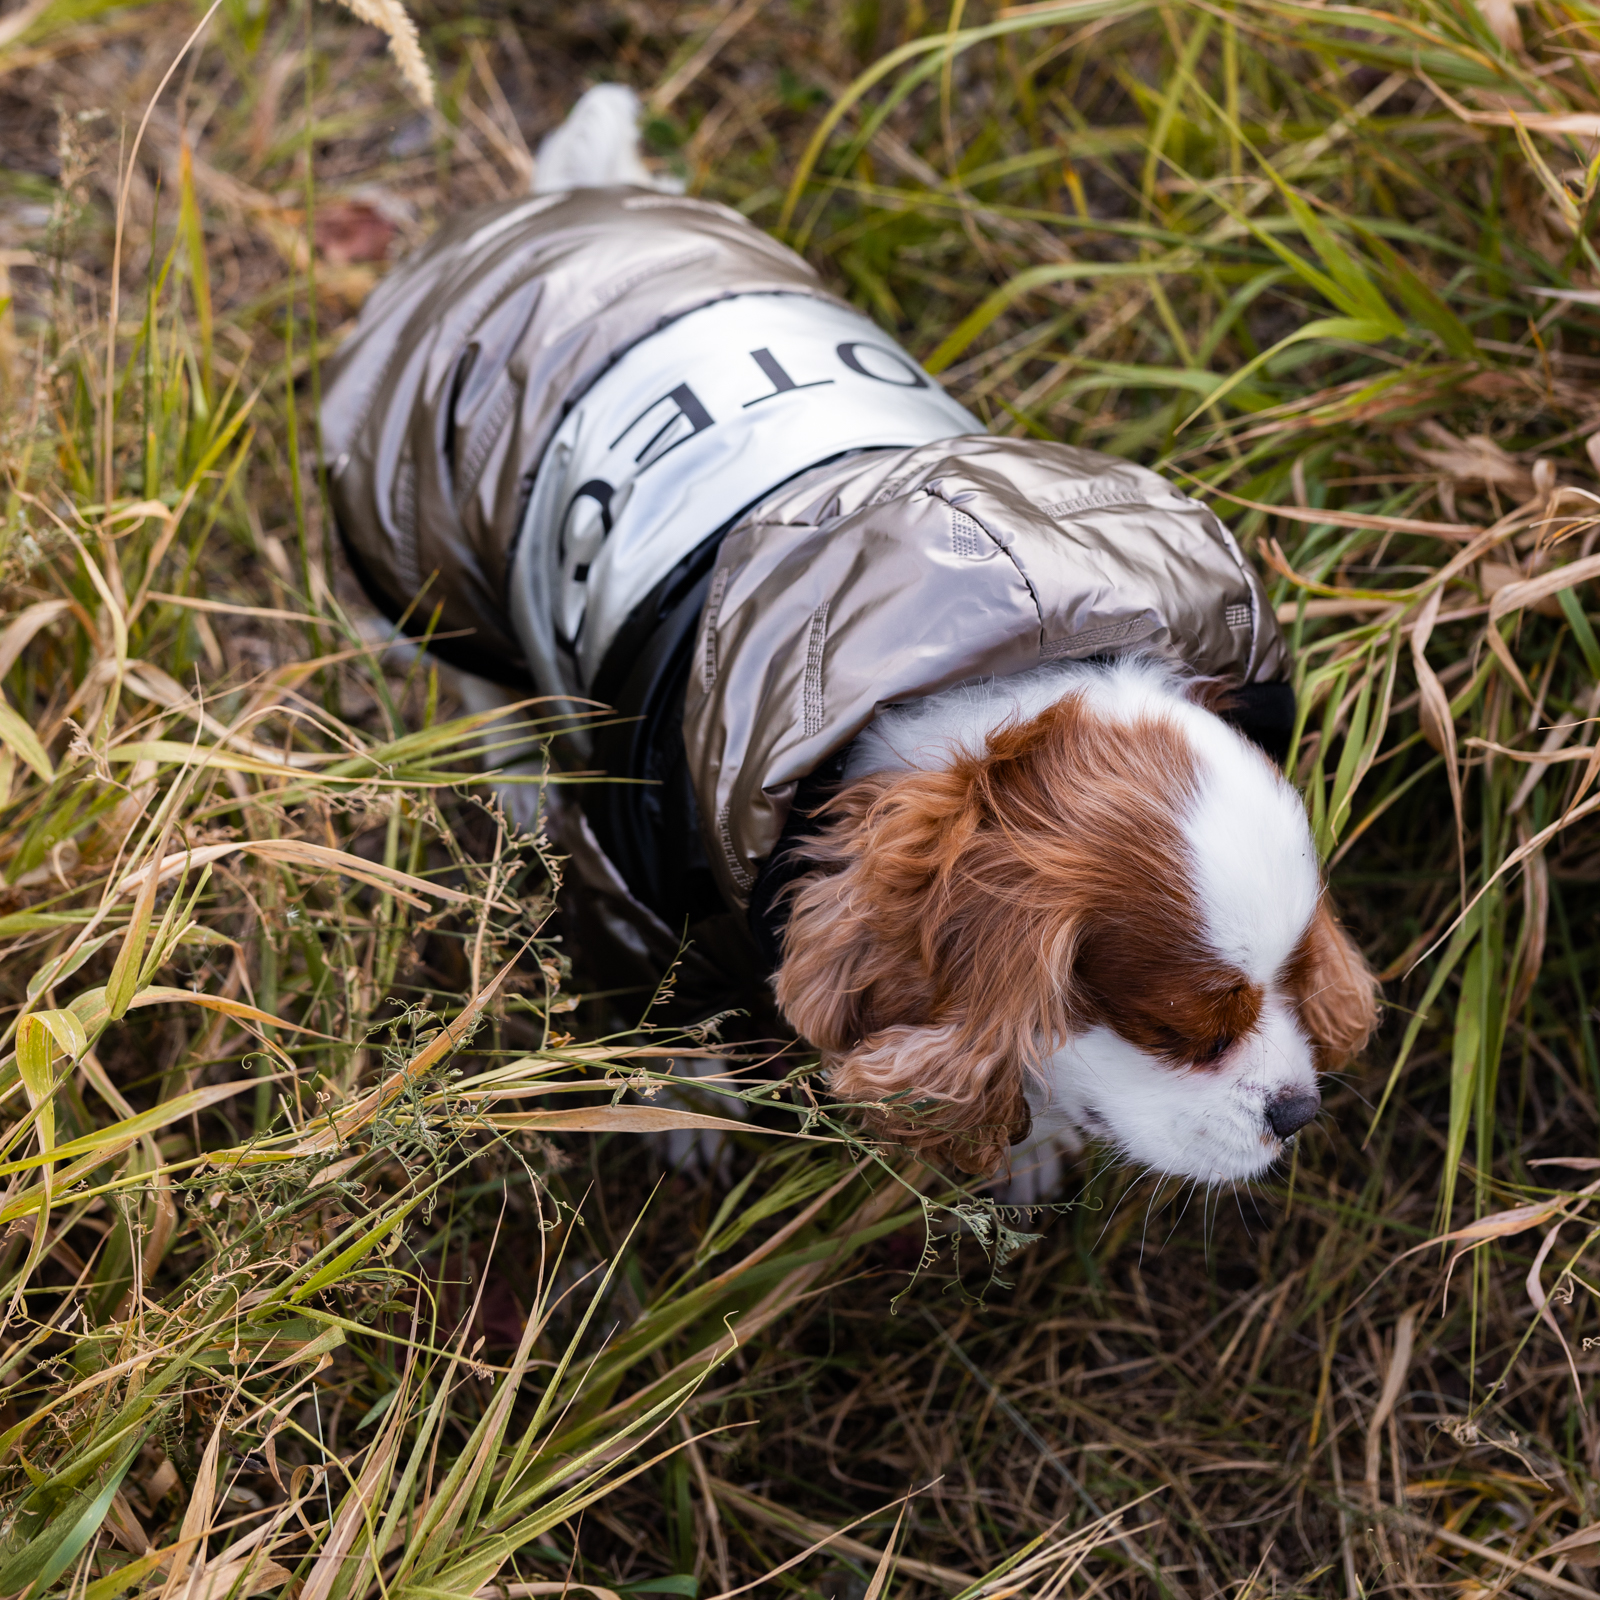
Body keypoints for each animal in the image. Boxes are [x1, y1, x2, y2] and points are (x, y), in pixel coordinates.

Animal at [318, 84, 1382, 1190]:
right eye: (1182, 1028)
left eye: (1298, 972)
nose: (1301, 1110)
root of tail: (571, 201)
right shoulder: (630, 889)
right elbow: (671, 1012)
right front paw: (687, 1104)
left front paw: (1027, 1142)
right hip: (424, 554)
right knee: (480, 680)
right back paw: (521, 772)